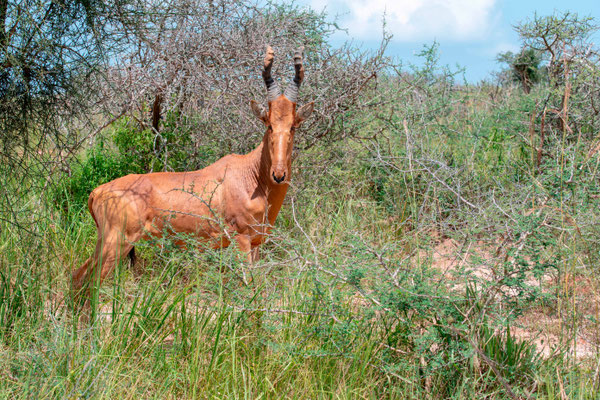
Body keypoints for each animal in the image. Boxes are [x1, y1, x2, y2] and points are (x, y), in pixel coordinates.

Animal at [74, 47, 314, 294]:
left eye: (293, 126)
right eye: (269, 125)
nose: (278, 175)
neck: (252, 176)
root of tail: (98, 192)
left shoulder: (255, 244)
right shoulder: (241, 240)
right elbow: (246, 286)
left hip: (106, 242)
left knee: (77, 275)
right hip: (117, 242)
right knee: (89, 281)